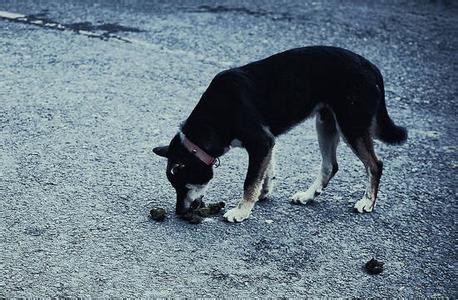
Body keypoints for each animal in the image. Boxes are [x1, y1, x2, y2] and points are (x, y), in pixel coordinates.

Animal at [154, 45, 408, 221]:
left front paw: (242, 210)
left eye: (183, 187)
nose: (178, 212)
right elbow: (265, 171)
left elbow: (249, 180)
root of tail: (372, 68)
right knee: (330, 166)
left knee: (375, 164)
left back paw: (367, 202)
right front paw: (262, 193)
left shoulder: (261, 142)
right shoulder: (267, 142)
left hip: (351, 125)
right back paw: (308, 195)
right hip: (325, 122)